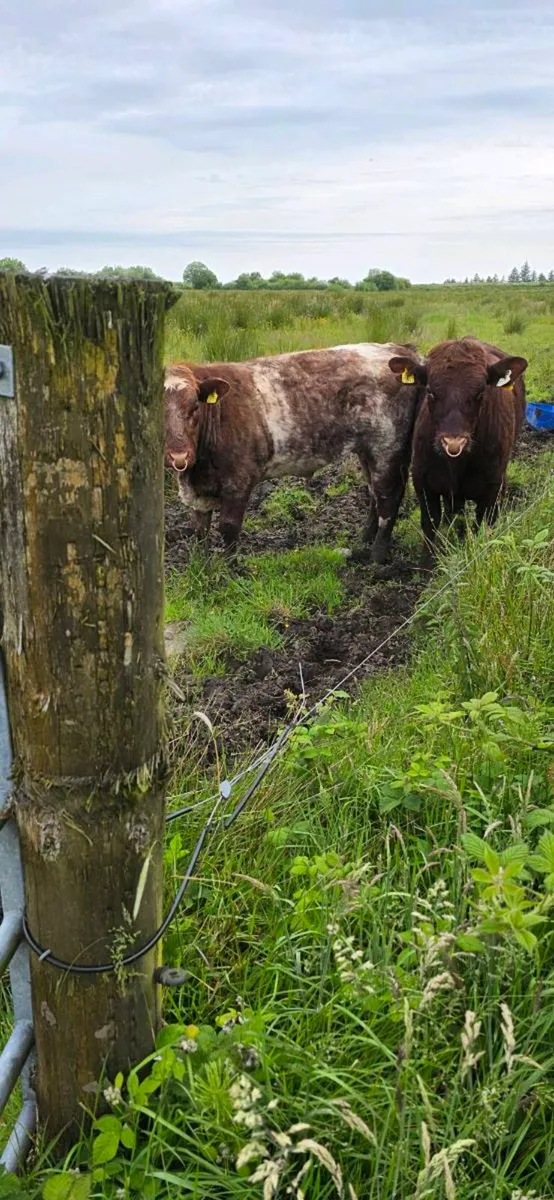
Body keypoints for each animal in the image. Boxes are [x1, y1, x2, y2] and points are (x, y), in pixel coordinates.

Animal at [164, 343, 426, 564]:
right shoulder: (199, 490)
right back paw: (364, 540)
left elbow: (228, 528)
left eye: (194, 407)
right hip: (368, 450)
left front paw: (229, 569)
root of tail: (398, 347)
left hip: (388, 448)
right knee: (373, 493)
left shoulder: (239, 482)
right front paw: (201, 566)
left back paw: (376, 557)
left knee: (388, 498)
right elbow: (199, 530)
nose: (179, 457)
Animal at [388, 337, 528, 567]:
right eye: (430, 391)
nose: (453, 442)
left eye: (480, 392)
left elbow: (483, 527)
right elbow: (430, 523)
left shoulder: (493, 488)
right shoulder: (422, 481)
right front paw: (426, 566)